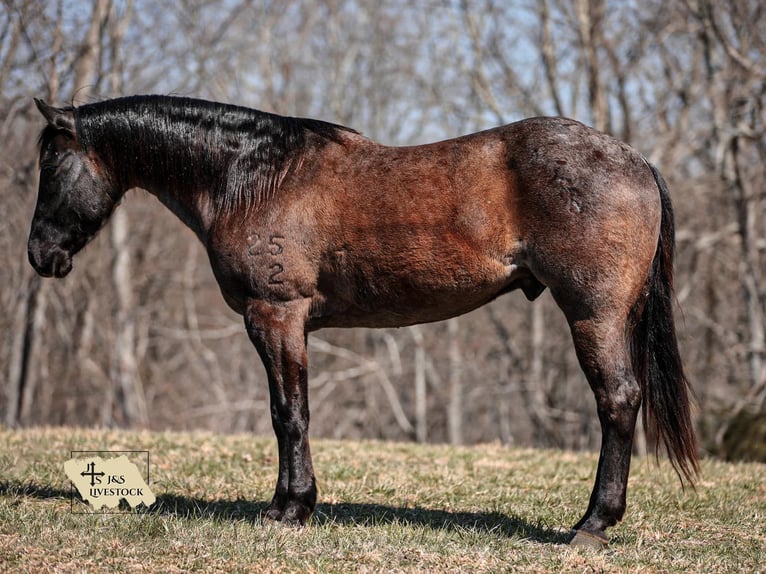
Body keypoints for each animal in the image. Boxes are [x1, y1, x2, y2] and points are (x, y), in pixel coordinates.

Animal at [28, 95, 698, 547]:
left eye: (51, 167)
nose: (41, 255)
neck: (253, 177)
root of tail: (634, 159)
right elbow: (287, 414)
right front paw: (288, 504)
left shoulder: (275, 315)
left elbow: (289, 414)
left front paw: (291, 509)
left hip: (593, 315)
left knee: (618, 401)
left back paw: (591, 525)